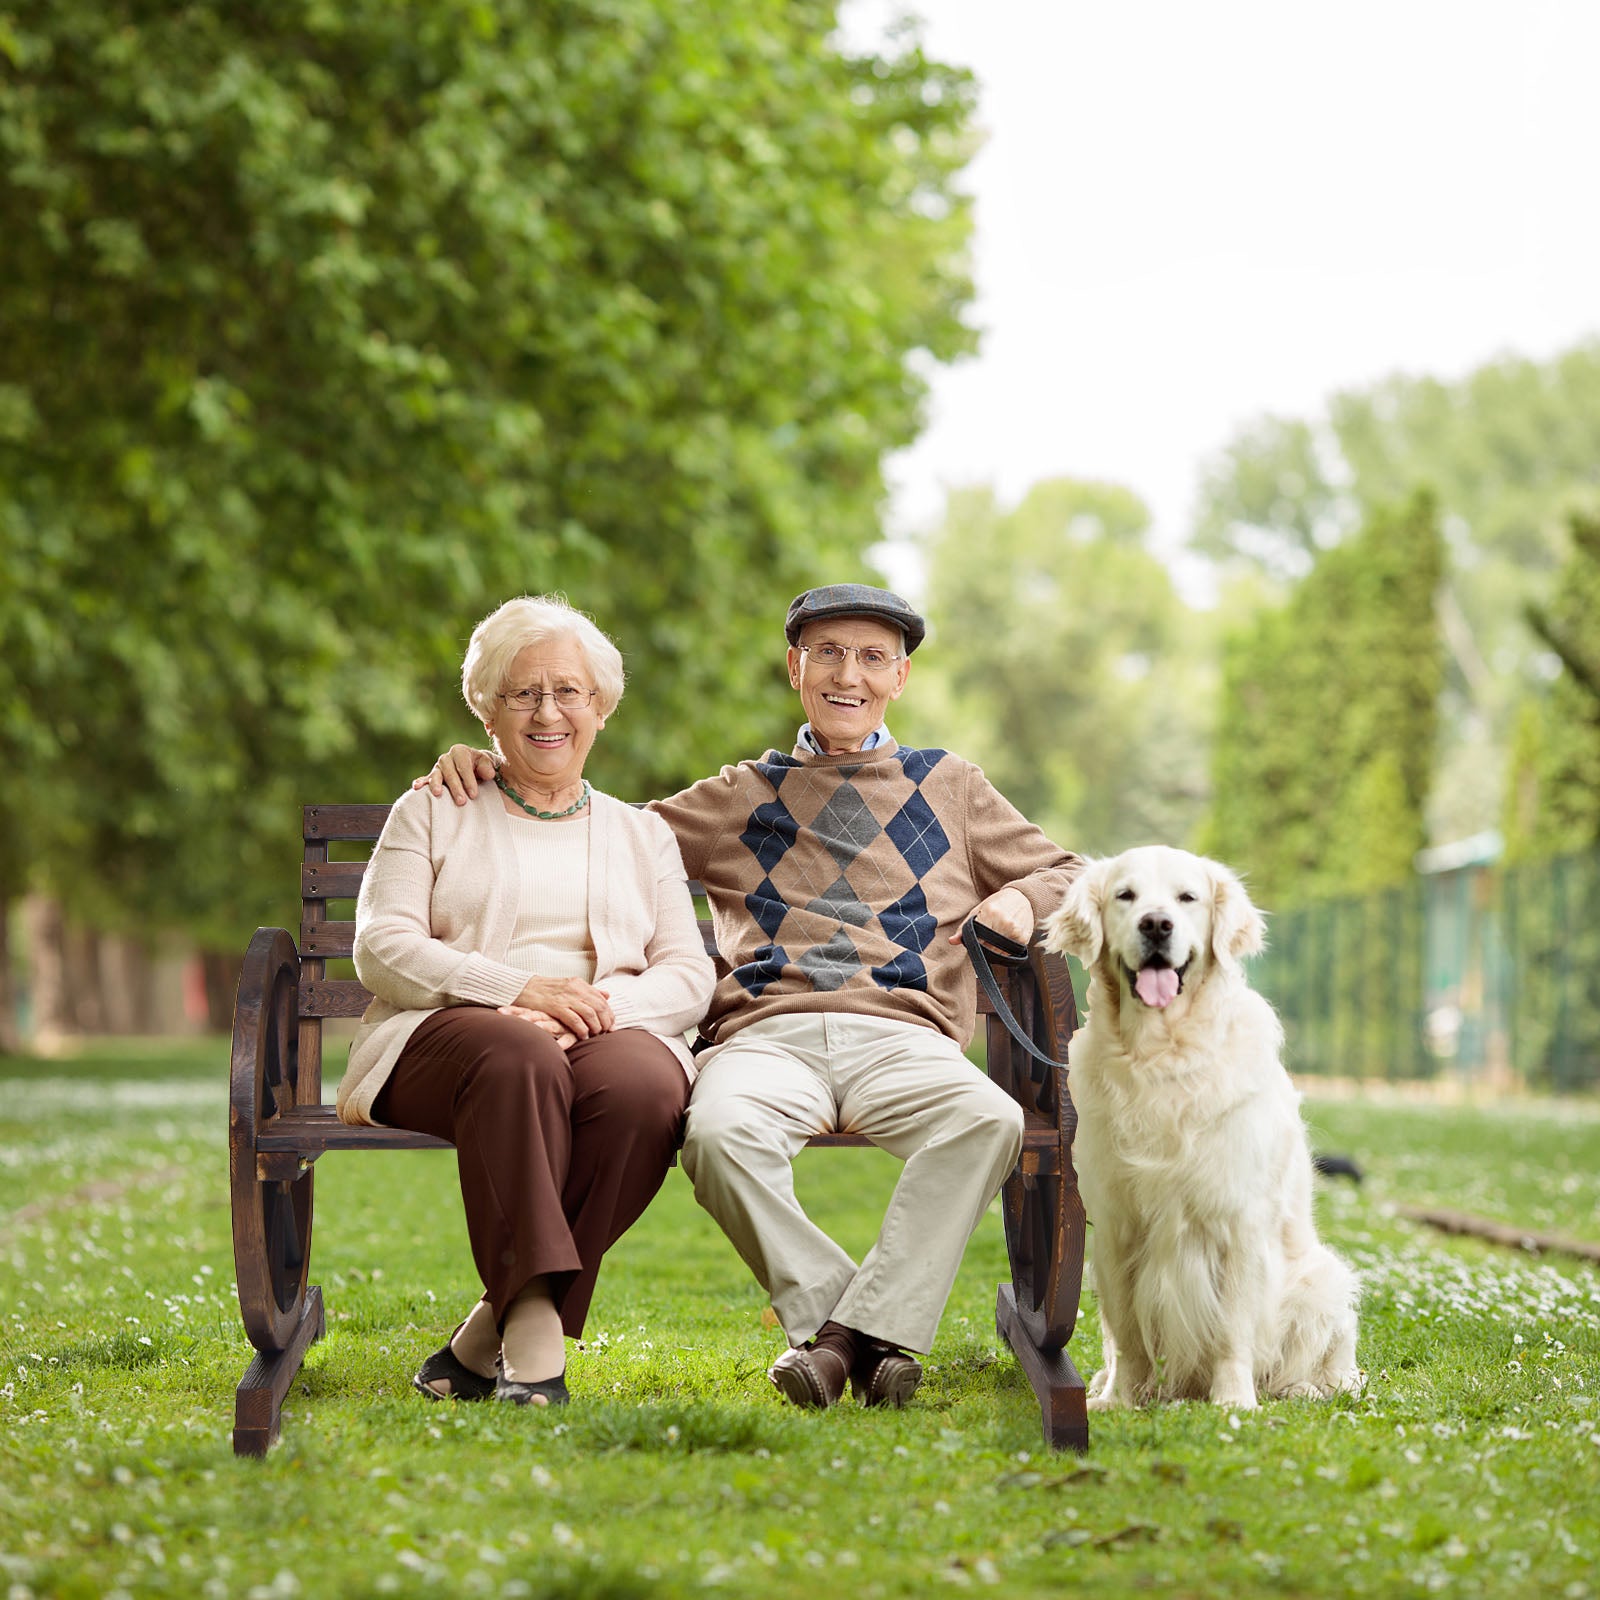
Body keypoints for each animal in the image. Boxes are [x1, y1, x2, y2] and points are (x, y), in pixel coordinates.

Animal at [1043, 851, 1356, 1414]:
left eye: (1187, 898)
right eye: (1125, 895)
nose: (1156, 924)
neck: (1161, 1054)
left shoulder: (1237, 1223)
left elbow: (1232, 1331)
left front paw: (1233, 1401)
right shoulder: (1117, 1228)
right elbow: (1128, 1336)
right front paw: (1121, 1400)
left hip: (1322, 1281)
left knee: (1332, 1371)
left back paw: (1300, 1388)